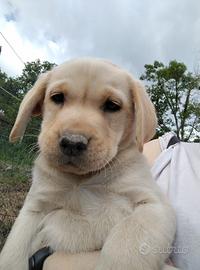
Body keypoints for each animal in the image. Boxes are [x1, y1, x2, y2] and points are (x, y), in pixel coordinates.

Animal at [0, 59, 177, 270]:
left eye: (112, 105)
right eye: (57, 97)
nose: (72, 142)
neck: (81, 180)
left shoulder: (154, 205)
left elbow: (125, 244)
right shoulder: (33, 210)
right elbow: (13, 252)